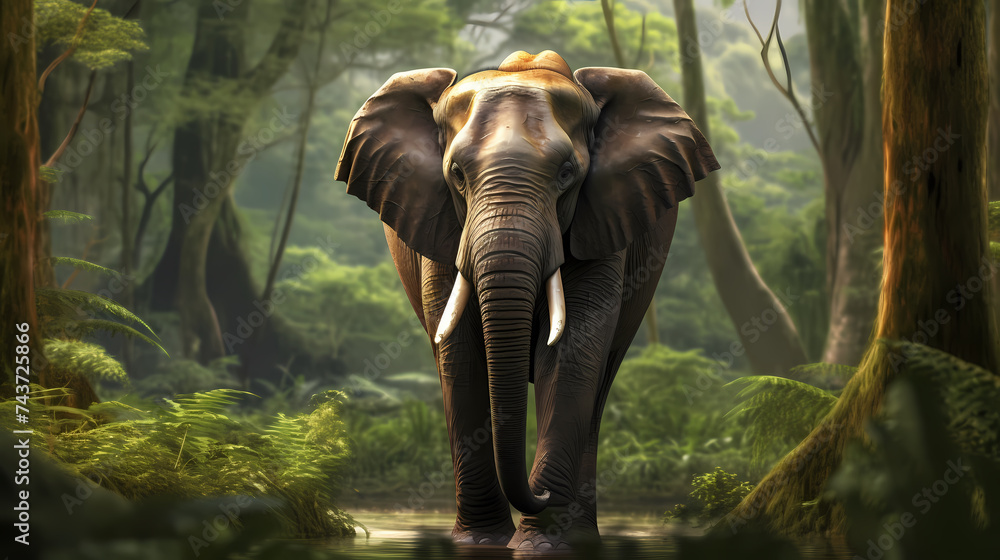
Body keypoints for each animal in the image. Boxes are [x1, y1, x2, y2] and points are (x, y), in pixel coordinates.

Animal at [335, 50, 719, 551]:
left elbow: (575, 350)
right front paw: (479, 543)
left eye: (566, 174)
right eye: (456, 175)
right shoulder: (439, 229)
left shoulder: (600, 223)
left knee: (601, 383)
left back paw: (581, 535)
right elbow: (459, 354)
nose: (539, 493)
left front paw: (540, 546)